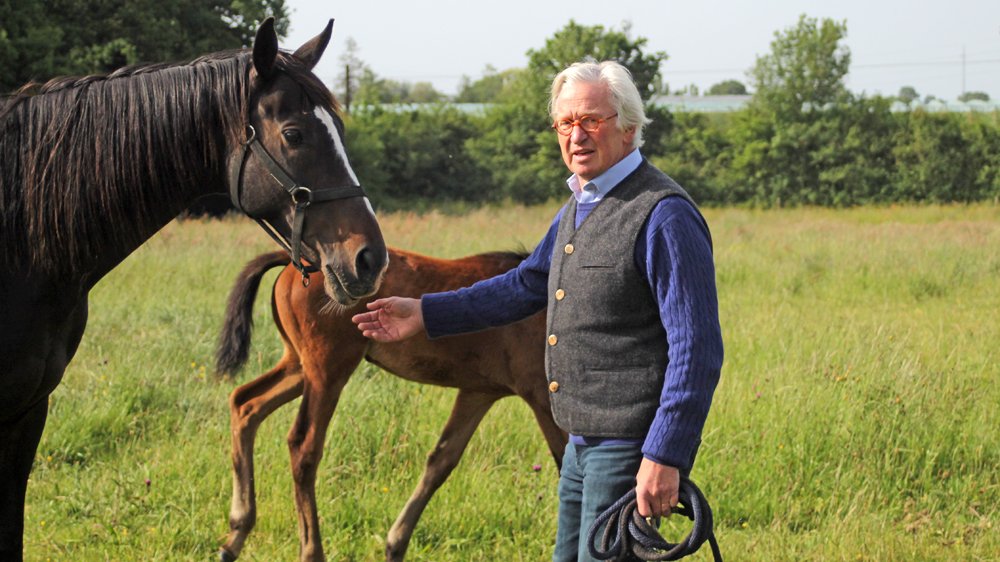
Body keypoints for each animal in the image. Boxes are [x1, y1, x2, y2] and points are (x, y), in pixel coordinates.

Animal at [216, 248, 567, 562]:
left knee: (245, 404)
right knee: (303, 447)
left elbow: (440, 462)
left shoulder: (478, 392)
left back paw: (236, 533)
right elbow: (566, 464)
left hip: (297, 365)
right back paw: (310, 551)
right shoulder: (540, 395)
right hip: (327, 370)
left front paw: (395, 545)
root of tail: (297, 263)